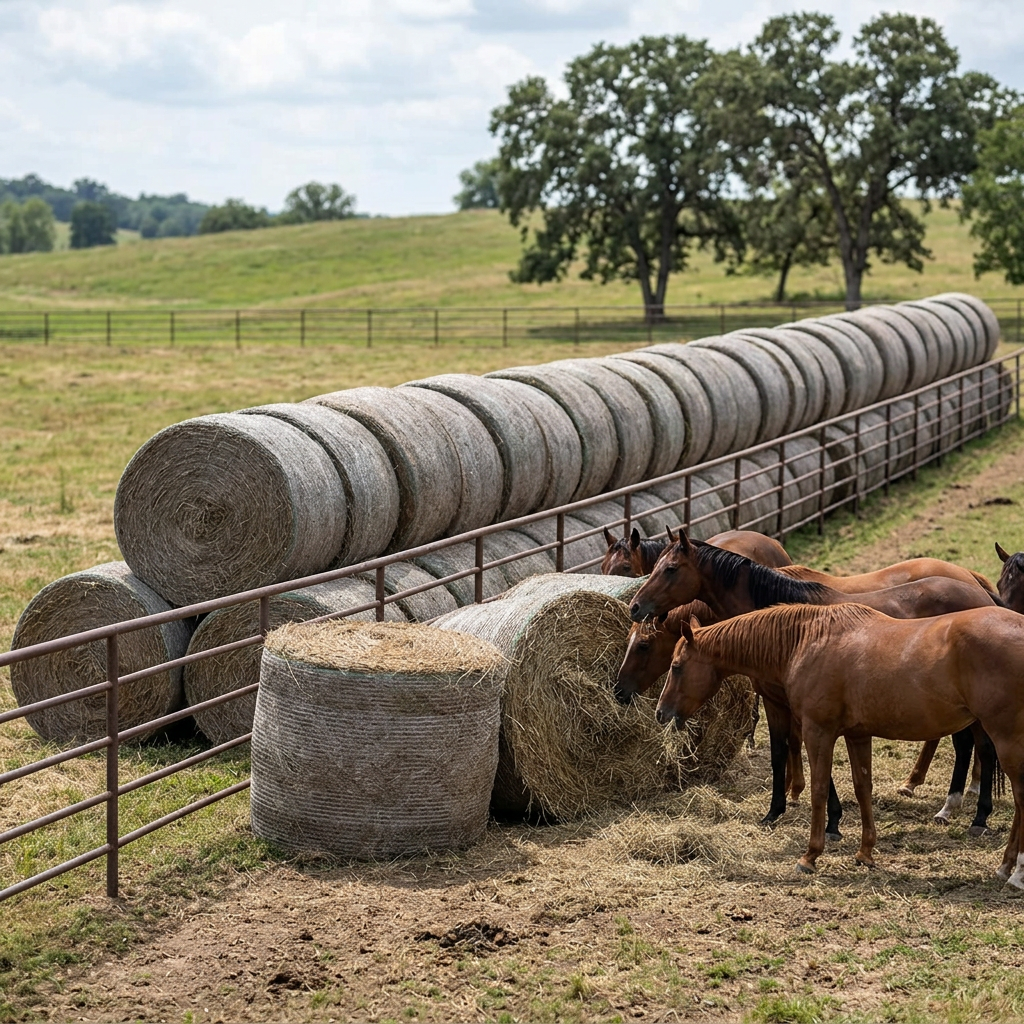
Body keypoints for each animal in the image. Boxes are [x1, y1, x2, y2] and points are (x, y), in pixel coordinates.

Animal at [629, 529, 1001, 831]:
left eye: (670, 569)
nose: (634, 605)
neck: (781, 624)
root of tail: (979, 592)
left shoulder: (798, 705)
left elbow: (801, 752)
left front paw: (818, 815)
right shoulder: (783, 703)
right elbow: (784, 751)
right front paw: (781, 810)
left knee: (979, 746)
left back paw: (973, 814)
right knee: (968, 744)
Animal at [657, 603, 1022, 884]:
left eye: (676, 666)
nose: (661, 713)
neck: (807, 641)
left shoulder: (818, 732)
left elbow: (819, 789)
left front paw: (810, 855)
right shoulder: (857, 734)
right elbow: (863, 787)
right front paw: (865, 853)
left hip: (1005, 739)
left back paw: (1012, 870)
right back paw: (1006, 866)